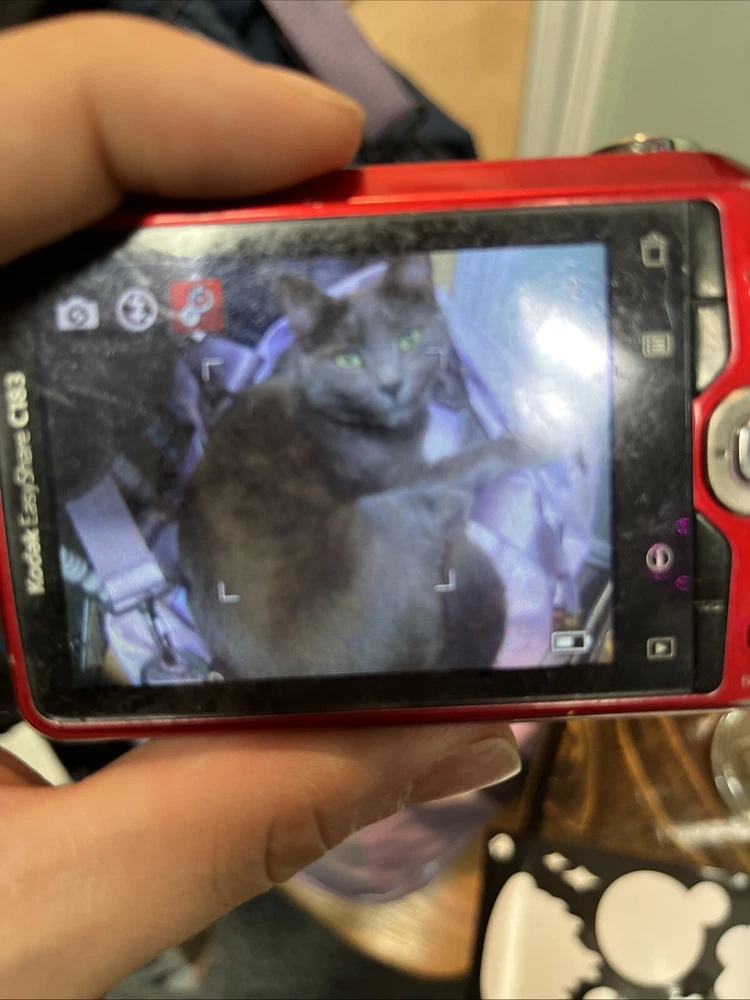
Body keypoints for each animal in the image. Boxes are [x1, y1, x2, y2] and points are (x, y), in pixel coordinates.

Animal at [179, 255, 531, 678]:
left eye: (408, 339)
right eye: (349, 359)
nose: (392, 385)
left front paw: (459, 391)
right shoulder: (408, 476)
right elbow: (472, 459)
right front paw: (533, 441)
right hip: (380, 516)